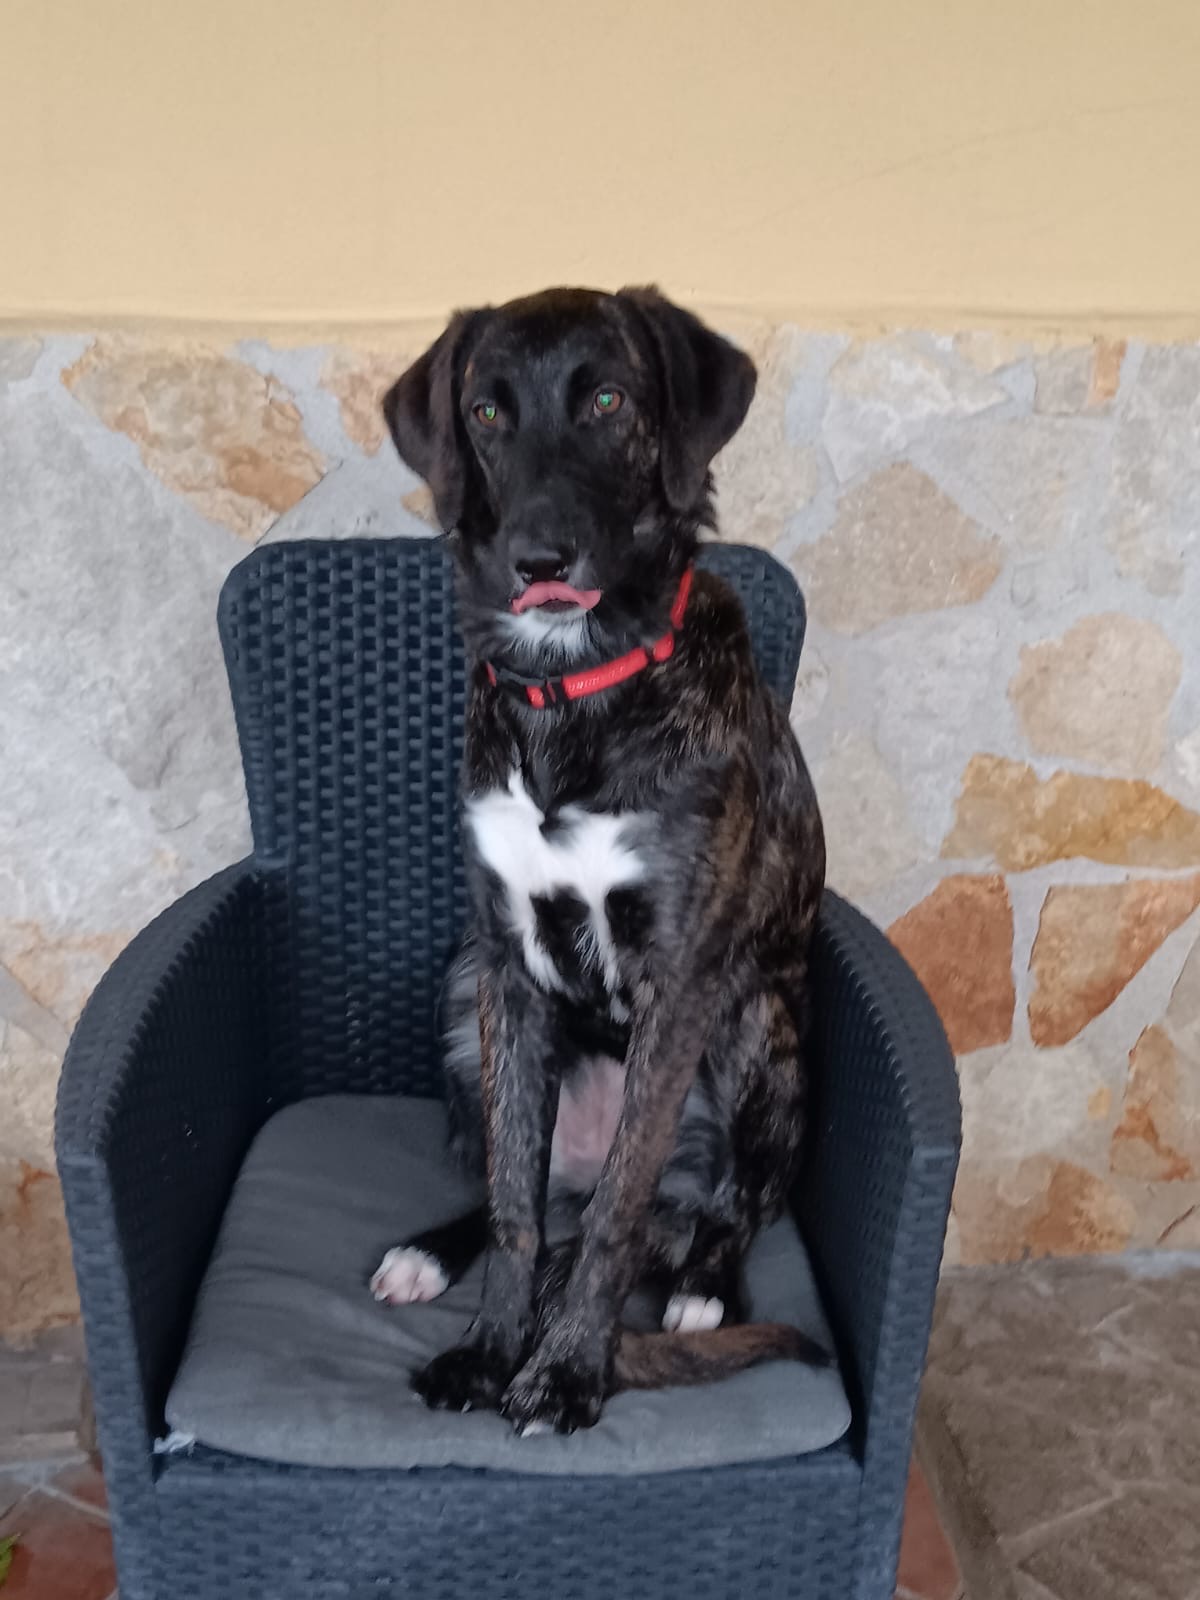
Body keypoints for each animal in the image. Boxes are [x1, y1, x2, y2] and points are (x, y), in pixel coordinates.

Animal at [370, 286, 827, 1436]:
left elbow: (616, 1220)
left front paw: (568, 1371)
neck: (575, 689)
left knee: (712, 1204)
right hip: (460, 995)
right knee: (530, 1191)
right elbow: (514, 1209)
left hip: (754, 1027)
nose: (539, 560)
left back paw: (704, 1285)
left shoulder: (683, 977)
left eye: (610, 400)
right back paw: (431, 1251)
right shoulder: (505, 967)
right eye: (486, 412)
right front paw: (491, 1350)